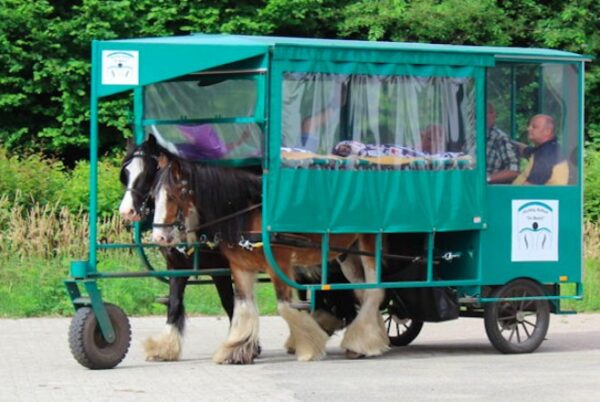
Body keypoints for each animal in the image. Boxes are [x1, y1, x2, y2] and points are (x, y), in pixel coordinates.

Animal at [118, 135, 235, 361]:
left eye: (147, 172)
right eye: (126, 173)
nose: (126, 211)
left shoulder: (222, 269)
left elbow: (230, 304)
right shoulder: (176, 266)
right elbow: (173, 303)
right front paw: (165, 347)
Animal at [151, 158, 390, 363]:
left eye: (173, 195)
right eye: (154, 195)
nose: (159, 238)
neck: (249, 213)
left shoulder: (279, 264)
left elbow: (285, 307)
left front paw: (309, 347)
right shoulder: (240, 267)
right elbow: (243, 306)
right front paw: (237, 349)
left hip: (369, 243)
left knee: (374, 290)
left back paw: (361, 342)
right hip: (348, 254)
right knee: (362, 291)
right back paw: (371, 336)